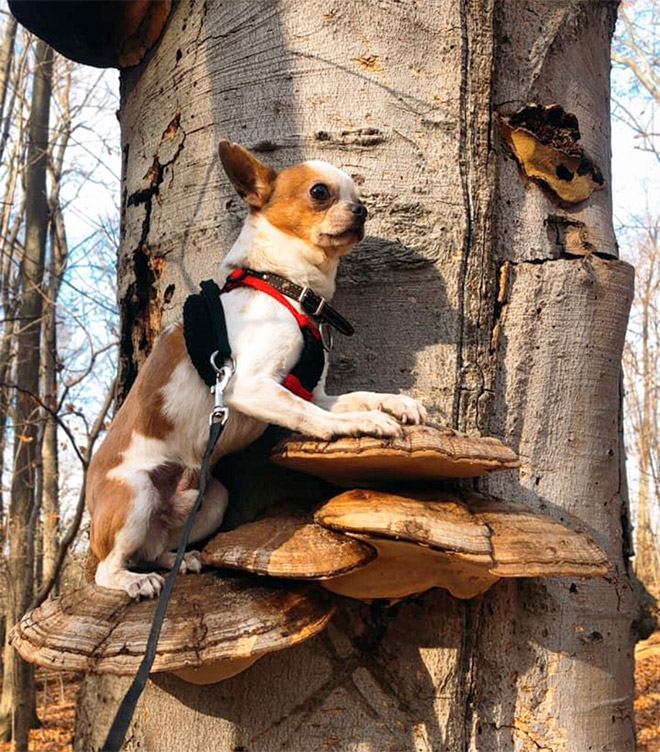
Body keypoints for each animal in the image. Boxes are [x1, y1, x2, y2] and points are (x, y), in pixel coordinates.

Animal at [86, 142, 428, 600]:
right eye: (320, 192)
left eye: (358, 194)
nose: (362, 209)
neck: (285, 286)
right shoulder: (249, 387)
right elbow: (311, 416)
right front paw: (361, 424)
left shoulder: (314, 392)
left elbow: (358, 396)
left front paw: (396, 404)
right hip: (137, 492)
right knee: (109, 567)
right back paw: (134, 580)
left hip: (212, 499)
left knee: (155, 548)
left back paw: (179, 559)